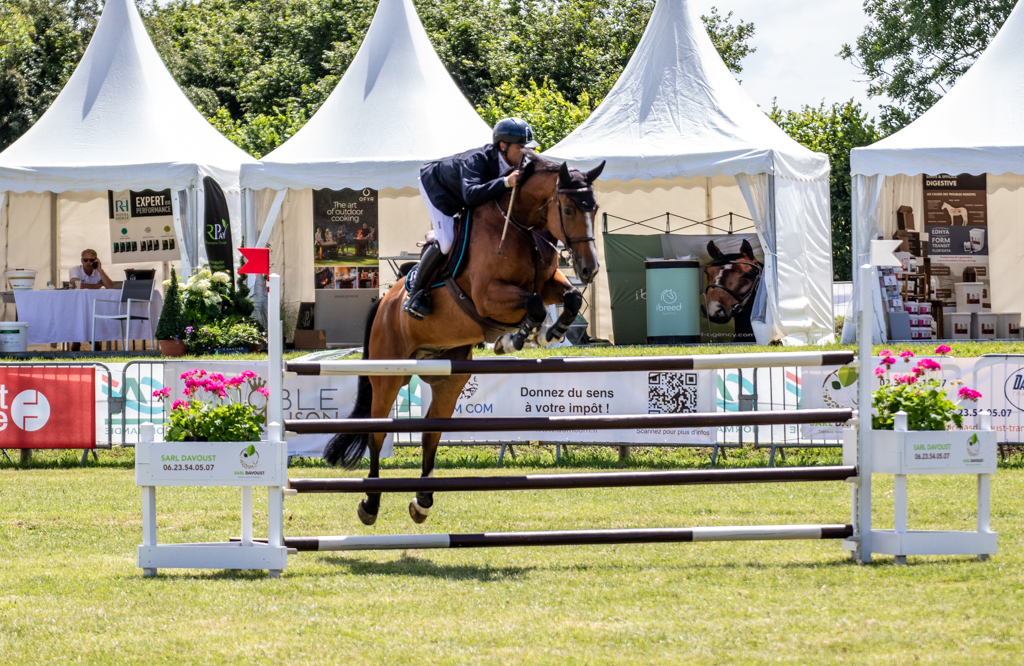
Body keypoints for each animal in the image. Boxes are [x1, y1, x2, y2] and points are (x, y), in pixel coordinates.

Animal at [323, 154, 605, 526]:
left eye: (595, 208)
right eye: (569, 209)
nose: (590, 269)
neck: (520, 225)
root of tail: (384, 304)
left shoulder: (547, 284)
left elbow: (570, 298)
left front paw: (548, 333)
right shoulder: (488, 296)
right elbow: (532, 304)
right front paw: (514, 339)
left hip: (449, 377)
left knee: (431, 432)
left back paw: (422, 502)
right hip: (389, 376)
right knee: (378, 432)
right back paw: (370, 503)